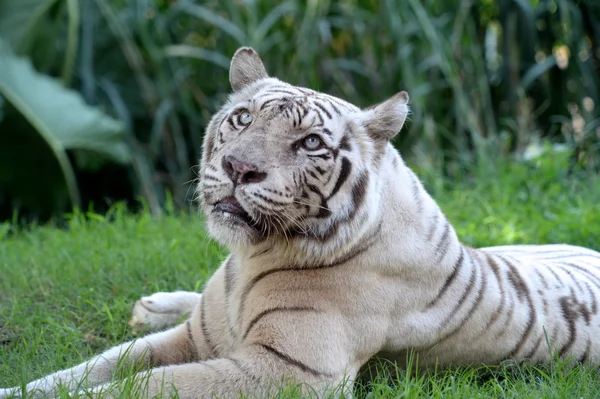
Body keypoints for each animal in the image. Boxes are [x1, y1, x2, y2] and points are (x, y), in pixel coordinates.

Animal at [2, 47, 596, 399]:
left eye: (310, 143)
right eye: (243, 118)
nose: (238, 168)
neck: (247, 258)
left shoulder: (285, 371)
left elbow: (144, 386)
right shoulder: (196, 337)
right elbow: (95, 367)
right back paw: (150, 305)